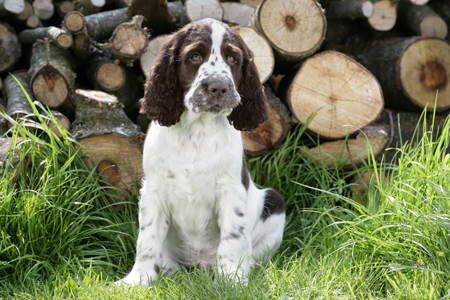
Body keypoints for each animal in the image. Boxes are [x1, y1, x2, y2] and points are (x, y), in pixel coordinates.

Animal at [118, 18, 286, 286]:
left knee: (252, 253)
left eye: (233, 58)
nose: (218, 87)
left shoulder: (231, 190)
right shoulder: (154, 189)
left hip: (274, 201)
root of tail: (200, 266)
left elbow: (232, 238)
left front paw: (233, 282)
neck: (197, 129)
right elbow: (147, 239)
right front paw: (137, 280)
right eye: (195, 56)